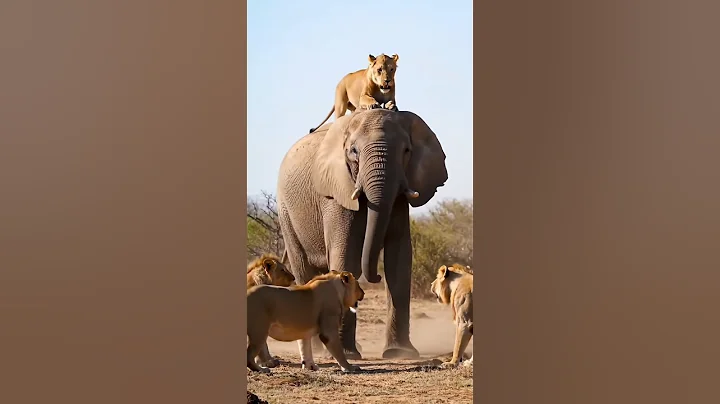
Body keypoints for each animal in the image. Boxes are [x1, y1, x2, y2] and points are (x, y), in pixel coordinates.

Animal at [276, 108, 448, 363]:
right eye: (354, 152)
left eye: (406, 151)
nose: (374, 277)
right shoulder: (337, 193)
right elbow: (346, 258)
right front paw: (349, 354)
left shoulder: (398, 201)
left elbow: (399, 261)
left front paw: (400, 353)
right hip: (286, 212)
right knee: (304, 269)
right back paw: (319, 348)